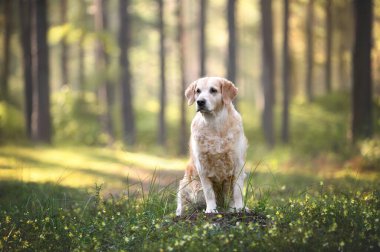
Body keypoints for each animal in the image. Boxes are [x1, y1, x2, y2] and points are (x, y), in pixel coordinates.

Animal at [176, 76, 248, 216]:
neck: (215, 125)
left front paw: (239, 208)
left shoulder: (238, 164)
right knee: (183, 204)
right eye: (198, 91)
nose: (200, 102)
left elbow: (237, 192)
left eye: (213, 90)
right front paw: (211, 209)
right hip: (185, 185)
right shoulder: (202, 166)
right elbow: (209, 192)